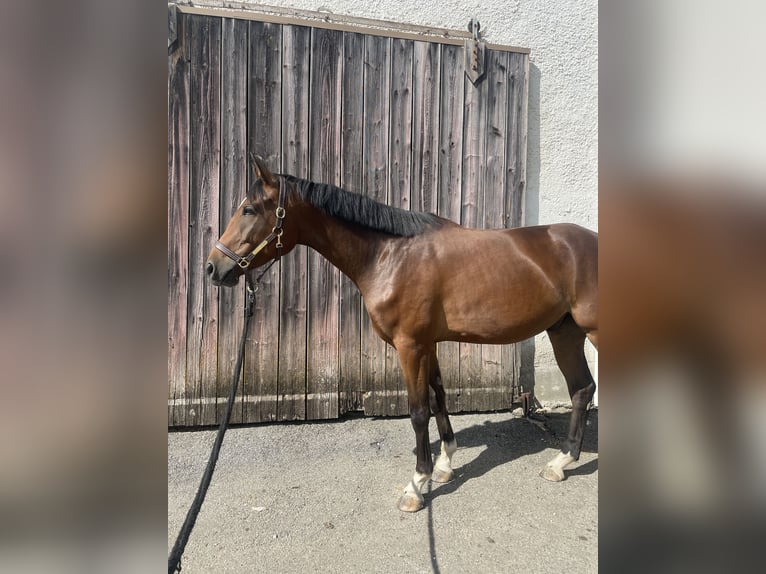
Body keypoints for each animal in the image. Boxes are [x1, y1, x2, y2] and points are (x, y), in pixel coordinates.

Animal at [206, 156, 598, 512]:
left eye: (249, 210)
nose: (213, 267)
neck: (390, 255)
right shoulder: (430, 344)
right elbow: (438, 397)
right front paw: (444, 465)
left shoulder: (410, 346)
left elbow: (418, 411)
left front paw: (417, 485)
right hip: (564, 331)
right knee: (582, 389)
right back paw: (561, 462)